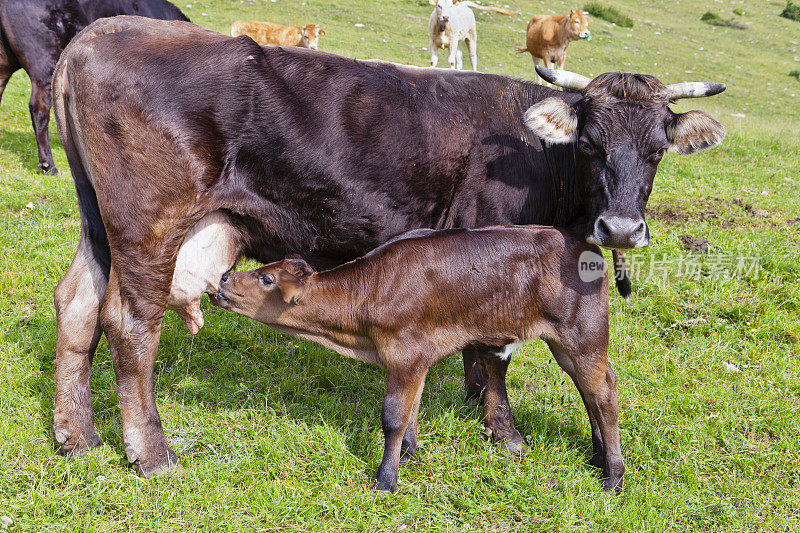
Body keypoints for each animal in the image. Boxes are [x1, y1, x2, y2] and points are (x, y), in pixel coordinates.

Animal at [50, 17, 724, 482]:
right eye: (588, 143)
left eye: (658, 149)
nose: (621, 229)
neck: (536, 156)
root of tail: (101, 32)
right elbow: (492, 355)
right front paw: (503, 433)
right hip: (148, 226)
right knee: (130, 323)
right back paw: (151, 453)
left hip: (101, 225)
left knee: (77, 304)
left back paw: (76, 437)